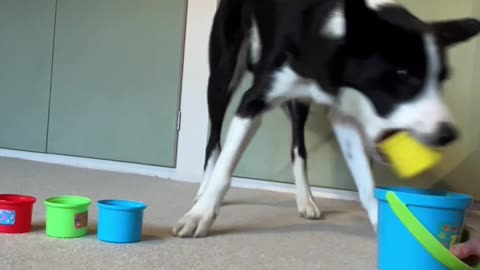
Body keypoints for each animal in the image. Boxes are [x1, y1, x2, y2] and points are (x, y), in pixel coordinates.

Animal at [172, 0, 480, 237]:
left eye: (442, 80)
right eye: (403, 74)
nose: (447, 134)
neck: (335, 37)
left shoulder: (344, 113)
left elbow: (366, 183)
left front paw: (384, 223)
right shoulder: (253, 101)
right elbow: (225, 168)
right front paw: (200, 215)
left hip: (299, 104)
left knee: (298, 147)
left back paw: (305, 198)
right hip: (222, 77)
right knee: (214, 141)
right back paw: (202, 189)